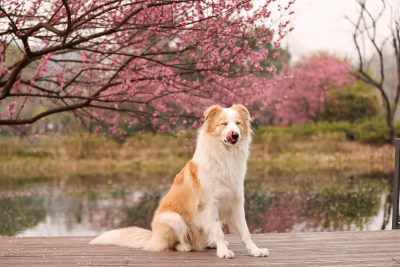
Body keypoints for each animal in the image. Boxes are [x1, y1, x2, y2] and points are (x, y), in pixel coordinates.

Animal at [90, 104, 268, 260]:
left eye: (238, 123)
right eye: (223, 124)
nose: (235, 134)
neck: (226, 156)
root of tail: (153, 237)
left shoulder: (236, 203)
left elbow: (245, 232)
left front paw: (255, 251)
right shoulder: (210, 205)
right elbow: (218, 230)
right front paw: (223, 252)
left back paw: (211, 244)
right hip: (173, 218)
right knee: (175, 243)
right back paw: (185, 247)